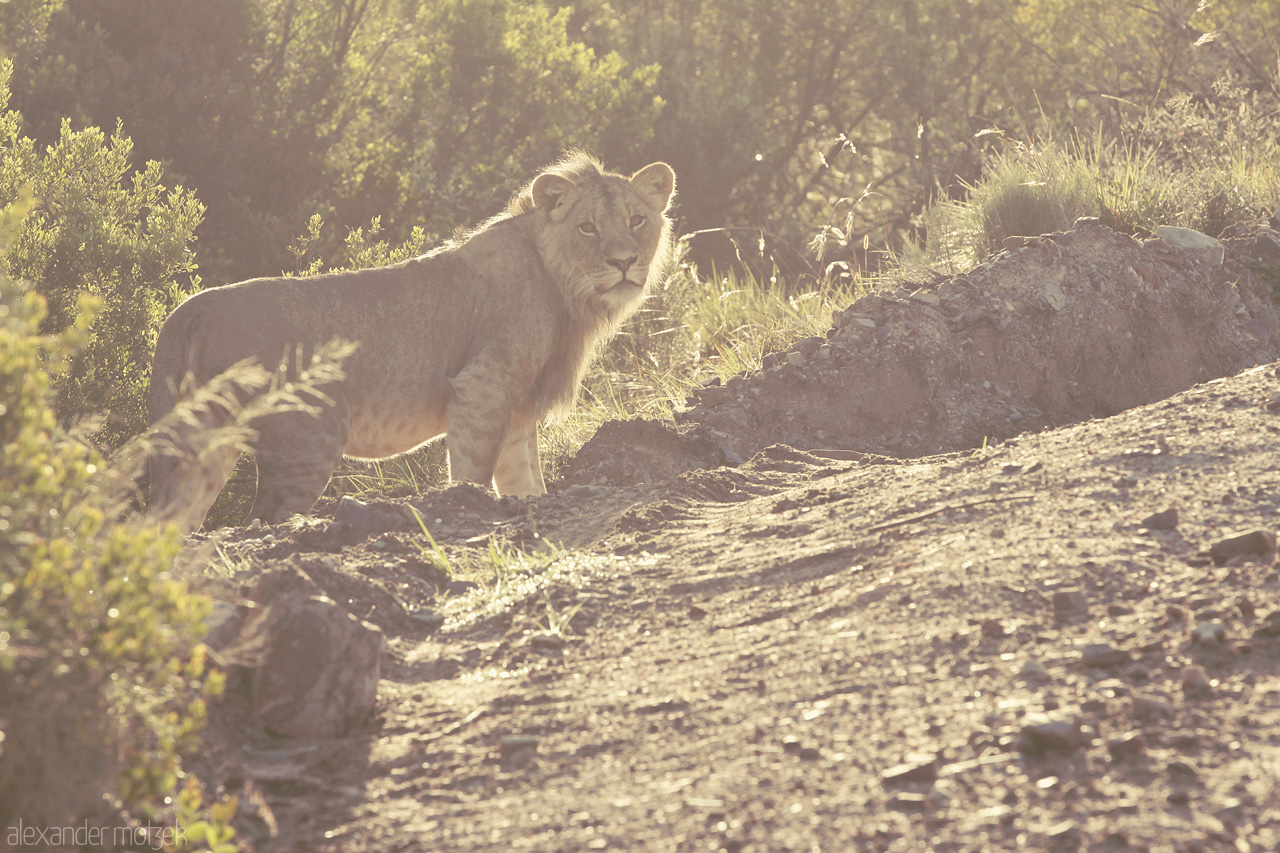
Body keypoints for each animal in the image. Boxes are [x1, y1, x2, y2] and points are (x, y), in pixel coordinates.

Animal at [149, 149, 680, 527]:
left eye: (637, 220)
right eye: (587, 227)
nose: (624, 262)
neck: (566, 291)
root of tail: (190, 309)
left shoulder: (520, 410)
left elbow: (525, 481)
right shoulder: (482, 388)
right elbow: (473, 473)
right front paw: (467, 508)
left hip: (204, 448)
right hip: (306, 442)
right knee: (256, 524)